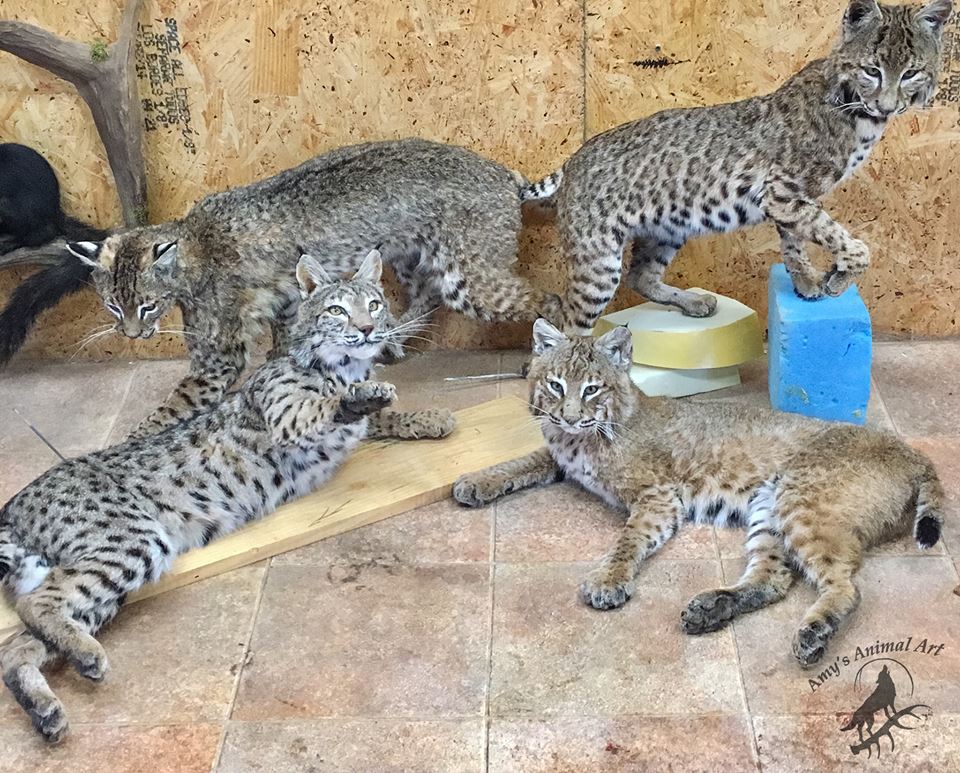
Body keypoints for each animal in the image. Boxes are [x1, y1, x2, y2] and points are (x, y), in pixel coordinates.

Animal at [0, 249, 456, 743]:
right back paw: (86, 657)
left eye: (374, 304)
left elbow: (378, 418)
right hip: (134, 541)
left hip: (98, 581)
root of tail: (13, 505)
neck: (346, 363)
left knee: (16, 646)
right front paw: (366, 395)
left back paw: (48, 707)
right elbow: (330, 403)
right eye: (337, 310)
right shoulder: (288, 417)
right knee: (35, 604)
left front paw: (430, 417)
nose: (370, 329)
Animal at [66, 138, 562, 438]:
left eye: (146, 307)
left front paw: (126, 448)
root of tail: (505, 173)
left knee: (548, 297)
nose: (130, 336)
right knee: (424, 297)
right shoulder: (288, 306)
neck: (192, 241)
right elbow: (287, 357)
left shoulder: (218, 357)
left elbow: (173, 406)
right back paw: (390, 339)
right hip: (409, 257)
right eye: (113, 307)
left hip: (468, 277)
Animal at [453, 319, 944, 668]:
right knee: (774, 579)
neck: (582, 439)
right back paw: (713, 608)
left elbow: (627, 540)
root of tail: (913, 451)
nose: (572, 416)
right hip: (769, 507)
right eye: (556, 385)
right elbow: (526, 460)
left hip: (801, 499)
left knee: (846, 587)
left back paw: (814, 632)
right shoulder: (561, 455)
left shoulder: (657, 496)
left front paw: (609, 581)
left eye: (592, 389)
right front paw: (478, 480)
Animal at [520, 0, 952, 333]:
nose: (887, 106)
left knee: (639, 276)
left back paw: (692, 303)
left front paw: (808, 282)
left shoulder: (792, 198)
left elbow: (797, 241)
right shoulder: (784, 193)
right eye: (871, 70)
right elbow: (847, 242)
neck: (858, 112)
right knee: (566, 327)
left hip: (667, 226)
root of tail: (574, 157)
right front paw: (838, 278)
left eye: (911, 73)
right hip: (597, 257)